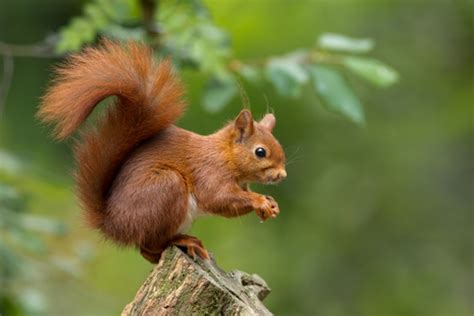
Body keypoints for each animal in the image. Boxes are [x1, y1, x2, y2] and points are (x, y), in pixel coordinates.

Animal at [37, 40, 286, 262]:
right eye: (260, 152)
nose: (282, 175)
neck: (225, 155)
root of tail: (113, 225)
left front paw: (270, 204)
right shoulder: (210, 171)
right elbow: (218, 198)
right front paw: (259, 201)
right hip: (167, 188)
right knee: (149, 246)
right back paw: (183, 241)